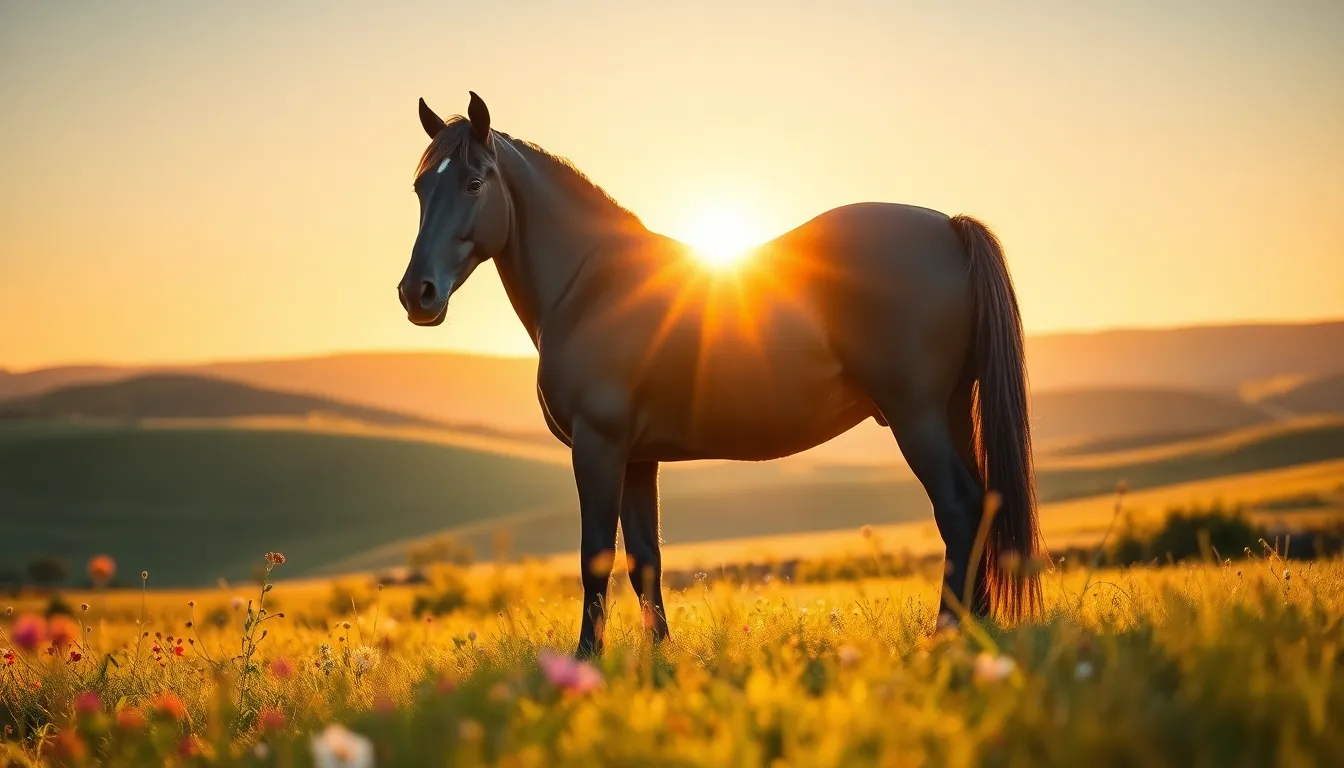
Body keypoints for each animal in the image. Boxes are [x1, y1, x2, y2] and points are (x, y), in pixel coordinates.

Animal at [397, 92, 1044, 657]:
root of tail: (949, 228)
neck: (591, 285)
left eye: (474, 182)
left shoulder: (598, 446)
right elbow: (645, 560)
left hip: (918, 418)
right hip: (952, 410)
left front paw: (586, 660)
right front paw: (658, 658)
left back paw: (946, 637)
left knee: (959, 510)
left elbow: (595, 558)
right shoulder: (638, 457)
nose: (417, 294)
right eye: (421, 186)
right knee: (982, 507)